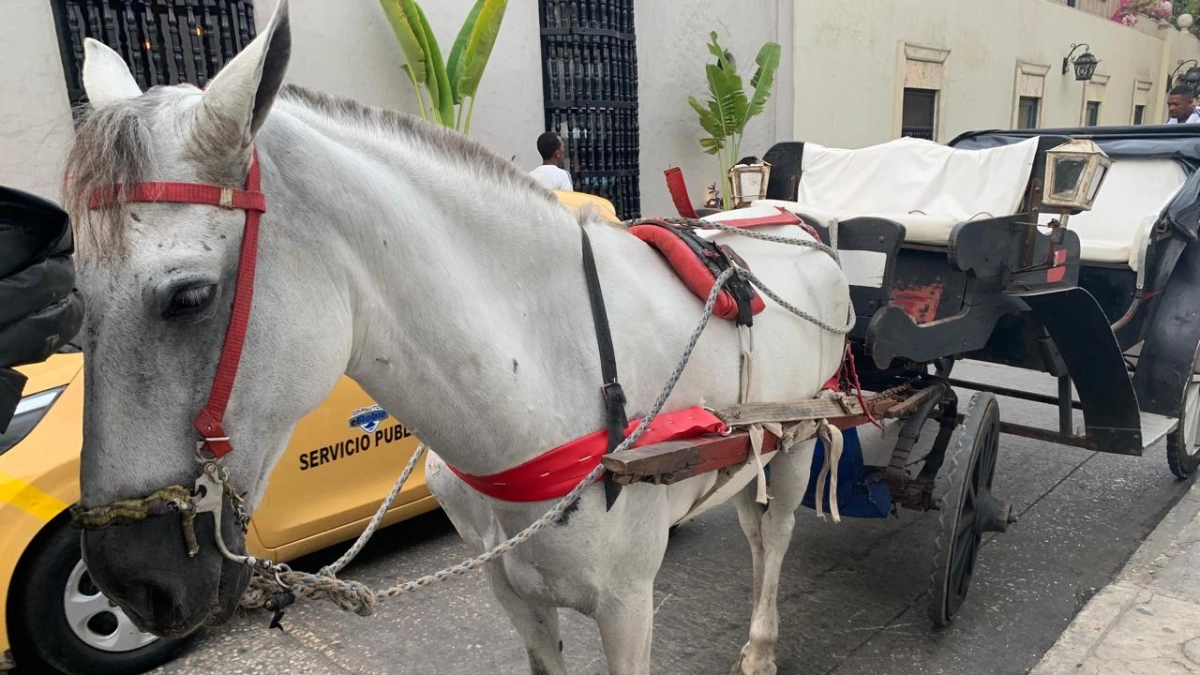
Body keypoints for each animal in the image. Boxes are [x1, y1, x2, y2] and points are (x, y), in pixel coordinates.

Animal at [67, 3, 850, 673]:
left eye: (189, 297)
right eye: (74, 292)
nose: (130, 581)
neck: (545, 370)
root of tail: (797, 219)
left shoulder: (627, 603)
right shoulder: (513, 592)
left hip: (799, 437)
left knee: (775, 535)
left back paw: (761, 645)